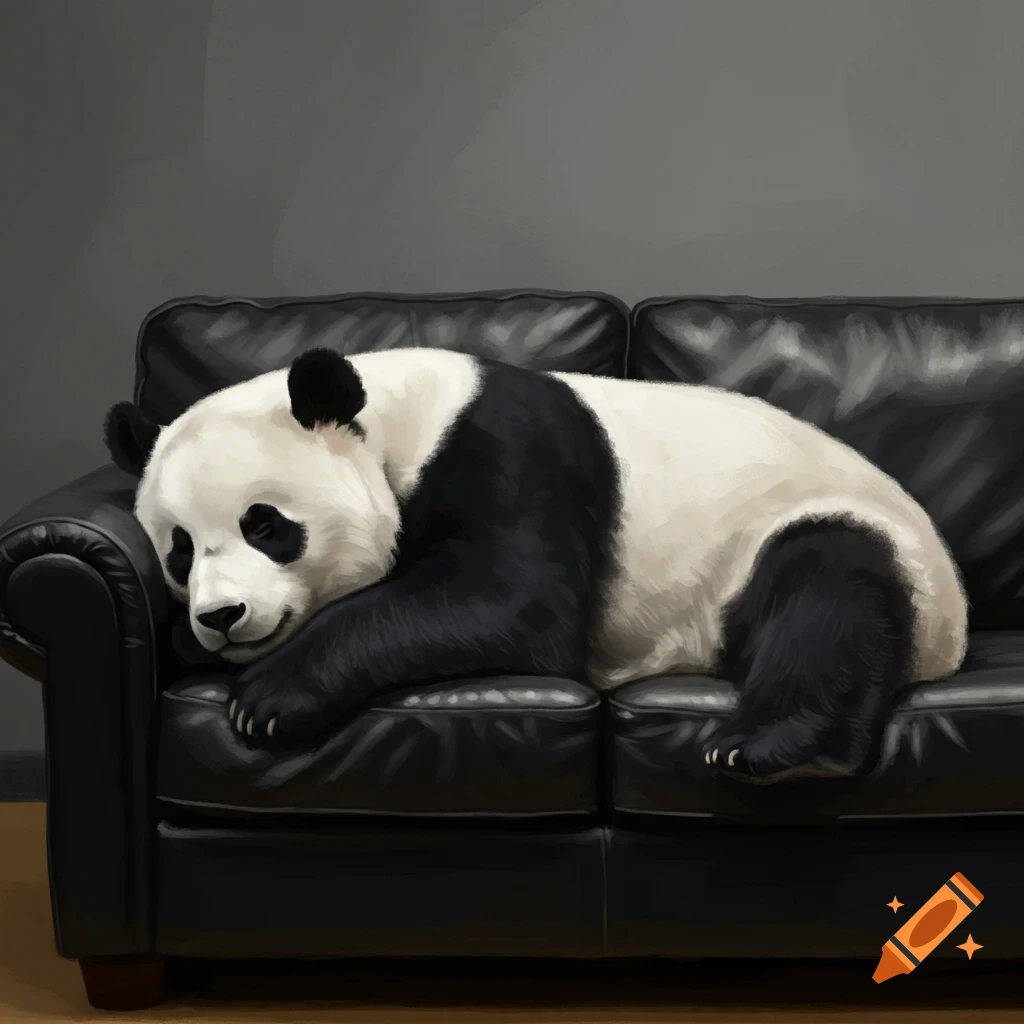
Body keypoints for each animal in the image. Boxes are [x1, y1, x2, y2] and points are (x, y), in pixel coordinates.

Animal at [103, 346, 968, 784]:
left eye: (266, 525)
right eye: (179, 549)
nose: (221, 618)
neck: (400, 418)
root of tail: (955, 635)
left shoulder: (513, 449)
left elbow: (511, 602)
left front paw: (269, 698)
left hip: (811, 527)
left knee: (828, 599)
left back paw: (770, 746)